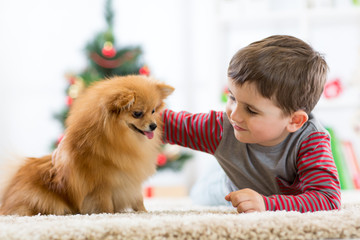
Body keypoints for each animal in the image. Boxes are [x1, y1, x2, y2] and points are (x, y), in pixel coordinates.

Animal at [0, 75, 174, 216]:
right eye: (137, 113)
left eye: (153, 111)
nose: (153, 126)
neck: (118, 138)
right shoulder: (101, 185)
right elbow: (105, 205)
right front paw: (107, 215)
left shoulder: (130, 178)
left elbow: (138, 199)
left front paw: (144, 212)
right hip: (45, 199)